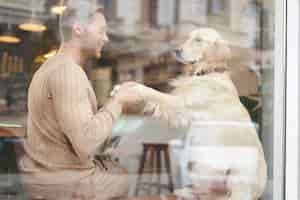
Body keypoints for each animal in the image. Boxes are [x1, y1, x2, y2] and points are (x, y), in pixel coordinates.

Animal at [116, 28, 266, 200]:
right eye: (188, 38)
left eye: (198, 40)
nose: (176, 50)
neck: (206, 73)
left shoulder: (180, 105)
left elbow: (154, 92)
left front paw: (134, 89)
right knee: (206, 192)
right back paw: (186, 192)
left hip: (237, 176)